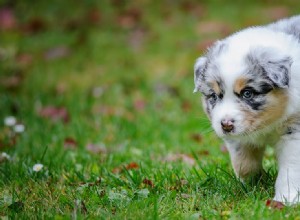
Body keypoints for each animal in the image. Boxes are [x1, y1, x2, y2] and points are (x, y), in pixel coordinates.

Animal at [193, 15, 300, 205]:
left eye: (248, 93)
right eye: (214, 96)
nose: (226, 125)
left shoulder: (294, 130)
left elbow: (291, 168)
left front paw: (286, 199)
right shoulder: (237, 139)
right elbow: (243, 163)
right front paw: (254, 183)